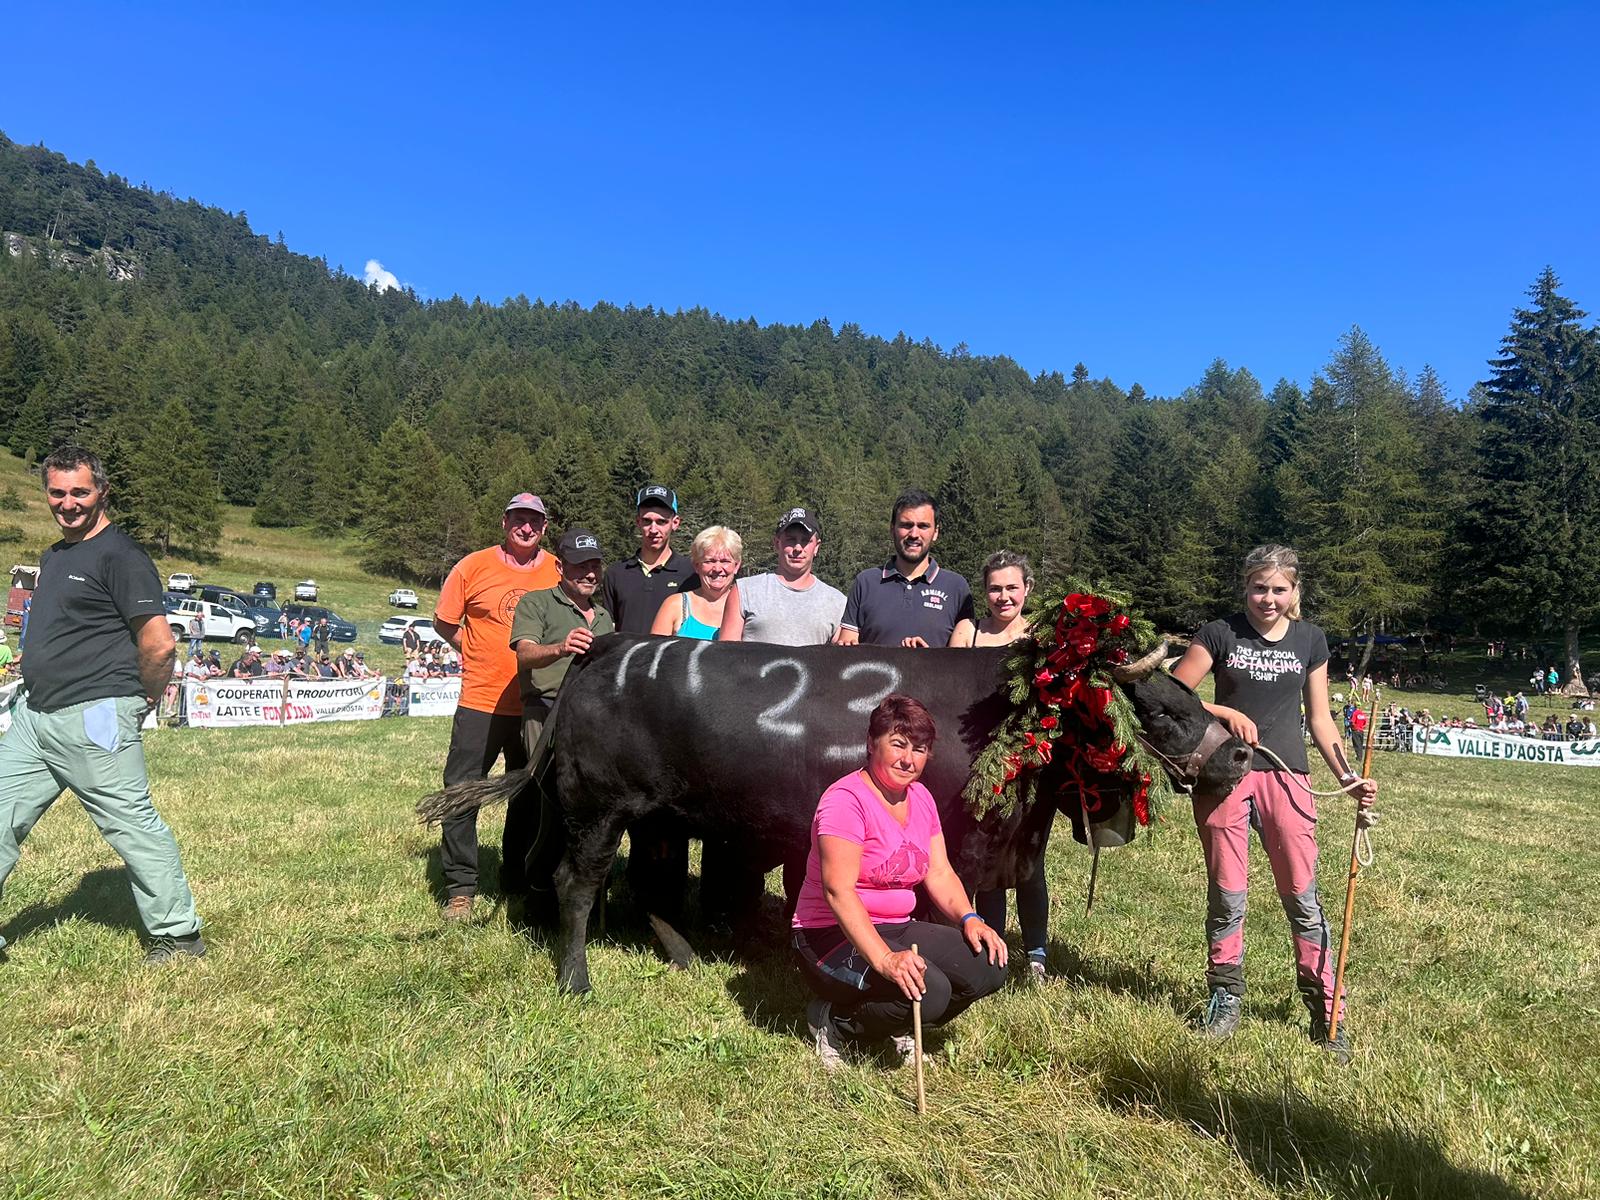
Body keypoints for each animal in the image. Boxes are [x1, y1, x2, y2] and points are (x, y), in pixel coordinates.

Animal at [422, 640, 1248, 998]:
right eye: (1163, 708)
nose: (1240, 753)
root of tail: (605, 654)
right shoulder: (965, 846)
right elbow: (958, 915)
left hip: (658, 815)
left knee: (649, 886)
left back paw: (683, 956)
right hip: (599, 807)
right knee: (576, 883)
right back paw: (576, 979)